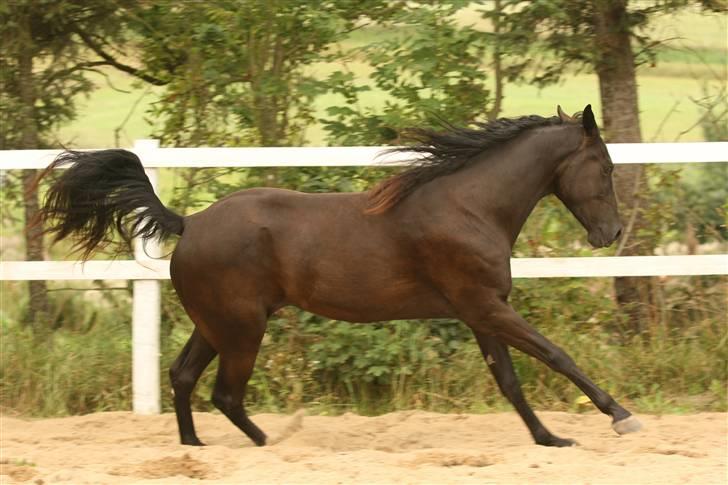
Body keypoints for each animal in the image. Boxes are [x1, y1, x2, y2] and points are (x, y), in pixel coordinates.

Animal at [39, 105, 644, 446]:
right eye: (605, 166)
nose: (611, 233)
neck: (469, 207)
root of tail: (188, 223)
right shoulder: (487, 306)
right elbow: (556, 355)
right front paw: (621, 416)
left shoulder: (480, 312)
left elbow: (511, 381)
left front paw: (550, 439)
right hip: (242, 329)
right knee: (225, 394)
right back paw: (268, 446)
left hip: (216, 325)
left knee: (183, 377)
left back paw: (196, 450)